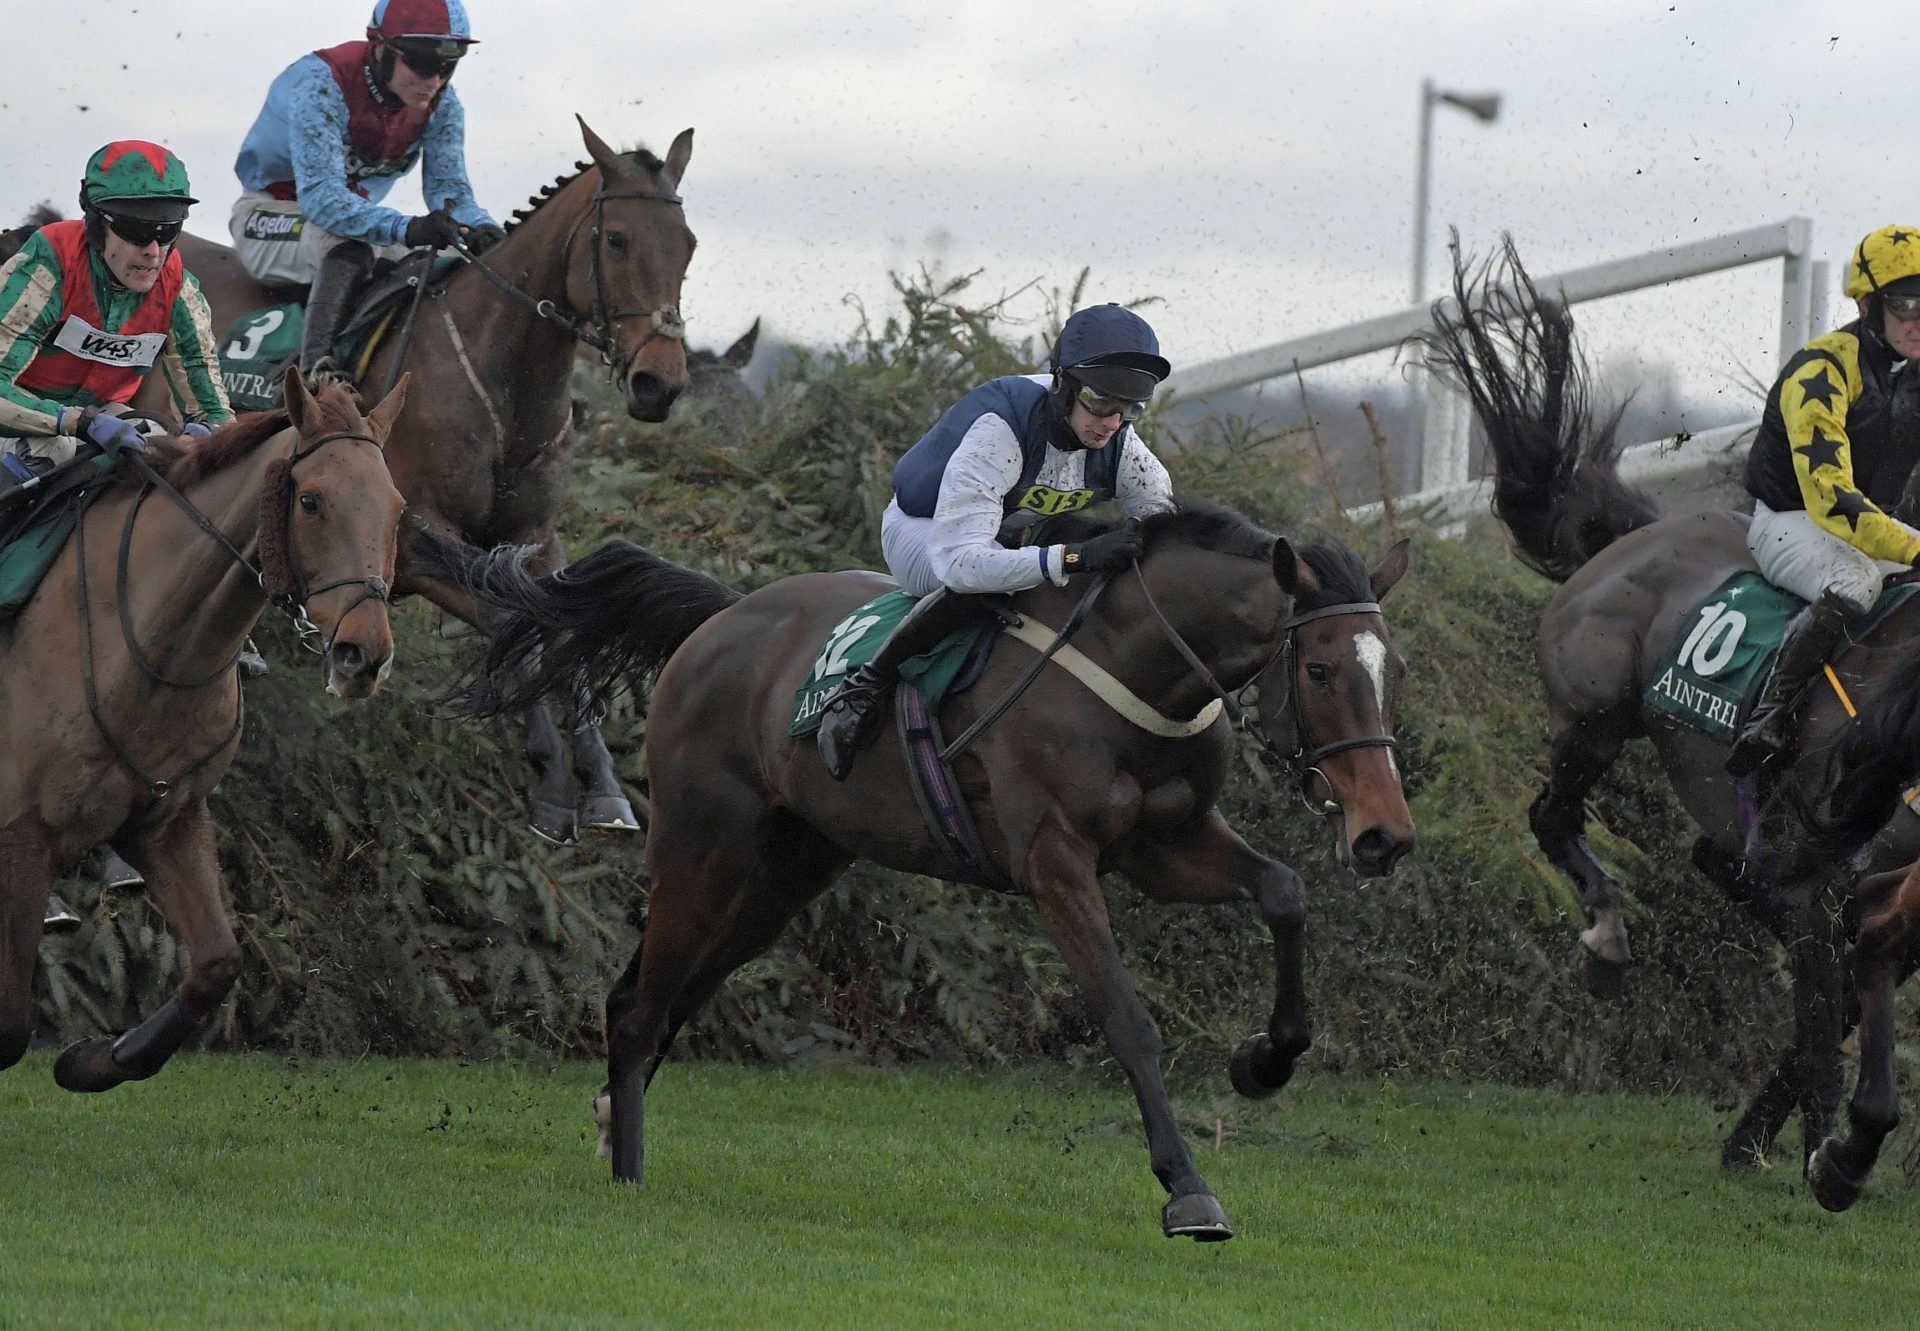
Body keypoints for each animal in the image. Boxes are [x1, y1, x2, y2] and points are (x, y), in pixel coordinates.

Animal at [1, 370, 408, 1090]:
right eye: (311, 501)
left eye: (397, 509)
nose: (364, 655)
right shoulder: (21, 837)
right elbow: (8, 1027)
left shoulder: (170, 820)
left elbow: (218, 963)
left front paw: (95, 1058)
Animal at [137, 116, 706, 841]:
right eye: (617, 239)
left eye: (688, 246)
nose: (660, 384)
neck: (500, 385)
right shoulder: (407, 542)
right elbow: (515, 623)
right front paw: (554, 784)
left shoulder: (536, 538)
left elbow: (567, 622)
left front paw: (602, 786)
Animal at [420, 503, 1413, 1244]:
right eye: (1322, 670)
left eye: (1389, 670)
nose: (1385, 837)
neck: (1135, 664)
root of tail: (719, 619)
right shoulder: (1056, 862)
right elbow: (1129, 1021)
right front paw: (1187, 1187)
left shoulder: (1165, 844)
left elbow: (1283, 892)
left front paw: (1266, 1060)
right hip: (704, 850)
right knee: (640, 1003)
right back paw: (628, 1173)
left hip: (784, 874)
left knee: (664, 994)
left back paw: (608, 1124)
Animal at [1420, 233, 1920, 1175]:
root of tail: (1632, 536)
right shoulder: (1814, 872)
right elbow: (1819, 1022)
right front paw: (1815, 1148)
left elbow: (1829, 1007)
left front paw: (1773, 1138)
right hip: (1592, 716)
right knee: (1553, 816)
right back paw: (1607, 939)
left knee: (1713, 862)